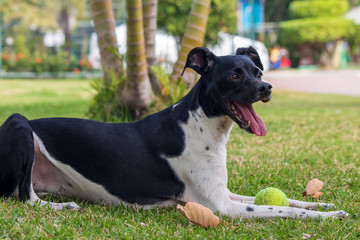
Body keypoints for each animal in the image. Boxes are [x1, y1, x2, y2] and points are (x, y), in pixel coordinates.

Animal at [0, 46, 348, 219]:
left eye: (258, 72)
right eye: (234, 75)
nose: (267, 87)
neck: (201, 125)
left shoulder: (224, 193)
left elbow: (288, 201)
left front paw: (321, 206)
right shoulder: (221, 207)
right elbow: (278, 208)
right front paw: (331, 217)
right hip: (20, 123)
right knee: (27, 199)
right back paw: (61, 208)